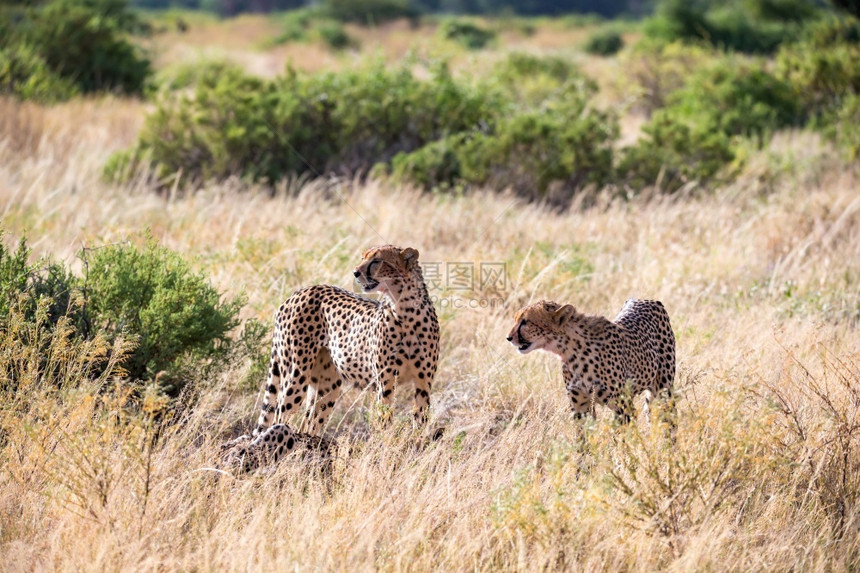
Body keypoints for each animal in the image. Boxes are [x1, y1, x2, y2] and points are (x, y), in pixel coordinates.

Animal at [223, 244, 436, 472]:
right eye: (363, 257)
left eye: (377, 261)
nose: (355, 272)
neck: (404, 307)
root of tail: (301, 291)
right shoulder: (385, 382)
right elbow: (384, 419)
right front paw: (386, 451)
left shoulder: (423, 383)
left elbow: (420, 420)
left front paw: (416, 450)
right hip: (296, 375)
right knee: (280, 417)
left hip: (328, 386)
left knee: (308, 423)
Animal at [508, 300, 676, 420]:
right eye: (515, 319)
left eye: (525, 322)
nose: (508, 338)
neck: (569, 349)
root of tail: (647, 300)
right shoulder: (580, 407)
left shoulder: (622, 406)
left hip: (663, 388)